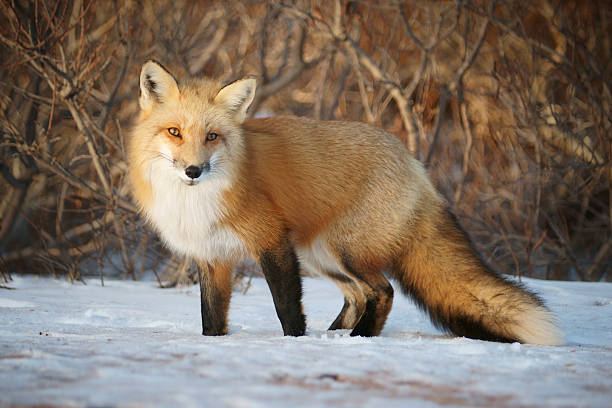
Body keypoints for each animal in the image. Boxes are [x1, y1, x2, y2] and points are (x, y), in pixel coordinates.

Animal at [128, 60, 564, 346]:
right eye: (174, 132)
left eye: (212, 136)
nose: (194, 170)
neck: (195, 202)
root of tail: (414, 164)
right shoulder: (212, 256)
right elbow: (212, 319)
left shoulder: (271, 242)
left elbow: (287, 306)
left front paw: (295, 343)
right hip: (321, 255)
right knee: (358, 296)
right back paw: (337, 334)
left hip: (343, 250)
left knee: (383, 291)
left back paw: (358, 339)